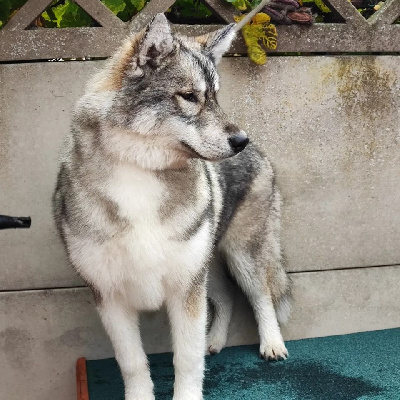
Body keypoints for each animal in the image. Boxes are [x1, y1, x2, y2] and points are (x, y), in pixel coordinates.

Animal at [53, 13, 290, 400]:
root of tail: (262, 152)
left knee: (262, 296)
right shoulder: (110, 298)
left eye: (215, 97)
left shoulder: (186, 288)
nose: (241, 140)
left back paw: (272, 344)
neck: (140, 174)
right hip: (210, 264)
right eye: (190, 97)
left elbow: (187, 359)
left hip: (243, 255)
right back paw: (215, 342)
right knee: (226, 299)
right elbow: (133, 363)